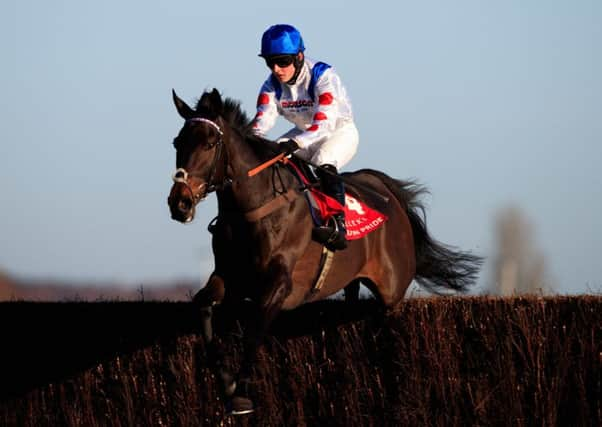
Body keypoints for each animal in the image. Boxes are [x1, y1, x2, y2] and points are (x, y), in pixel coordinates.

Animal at [166, 88, 480, 414]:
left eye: (209, 143)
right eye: (177, 142)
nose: (180, 203)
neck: (254, 208)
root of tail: (386, 192)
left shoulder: (279, 283)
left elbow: (253, 332)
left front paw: (240, 394)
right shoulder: (229, 276)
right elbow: (203, 307)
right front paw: (226, 382)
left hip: (392, 292)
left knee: (388, 328)